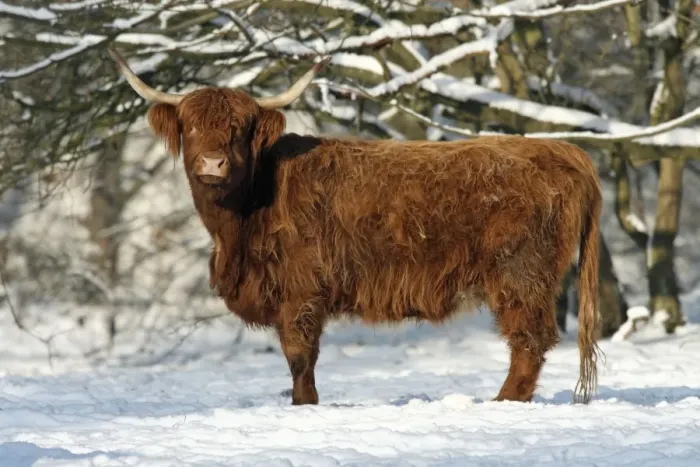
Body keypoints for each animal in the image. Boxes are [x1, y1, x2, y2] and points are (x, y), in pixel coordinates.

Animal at [107, 48, 602, 406]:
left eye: (239, 128)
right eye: (190, 127)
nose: (213, 163)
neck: (238, 227)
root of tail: (562, 150)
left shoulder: (302, 289)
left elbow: (299, 355)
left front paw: (305, 406)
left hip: (519, 273)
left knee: (529, 341)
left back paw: (503, 401)